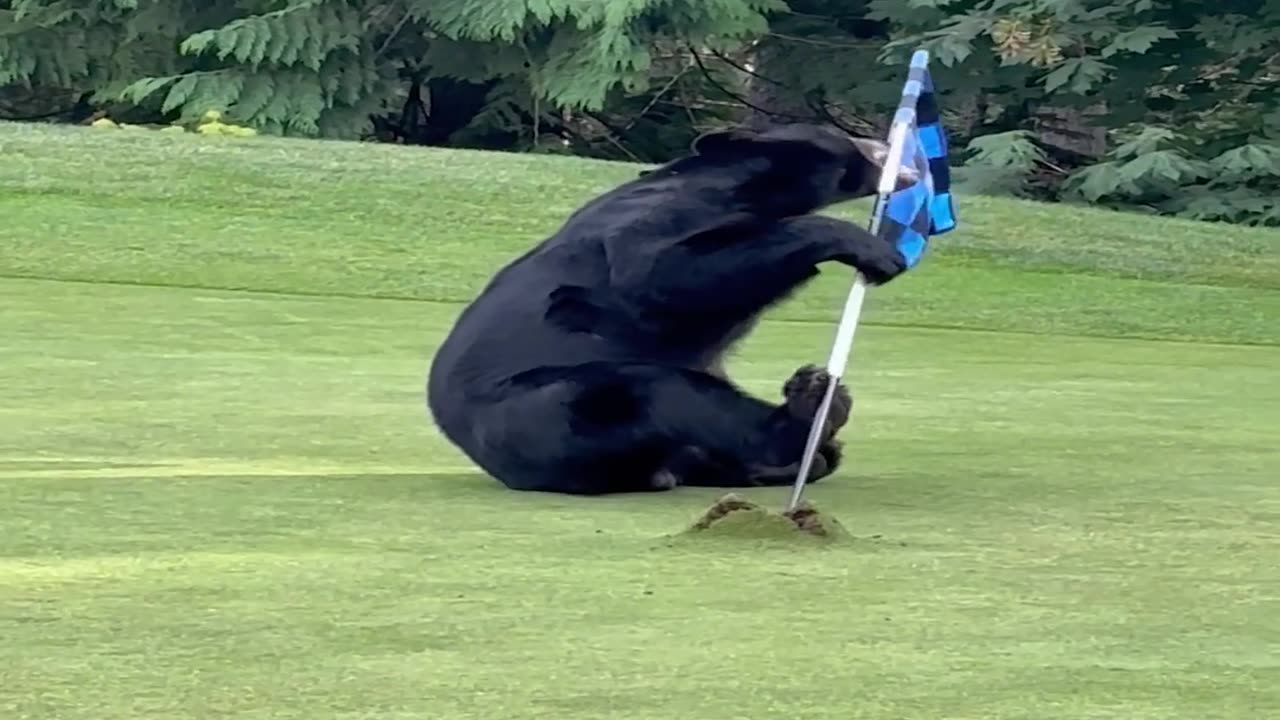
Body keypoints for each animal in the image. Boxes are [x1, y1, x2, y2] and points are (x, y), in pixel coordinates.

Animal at [426, 122, 915, 495]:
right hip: (545, 407)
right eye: (839, 135)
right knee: (661, 390)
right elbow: (663, 274)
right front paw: (867, 245)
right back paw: (809, 415)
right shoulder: (656, 217)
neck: (749, 188)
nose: (883, 140)